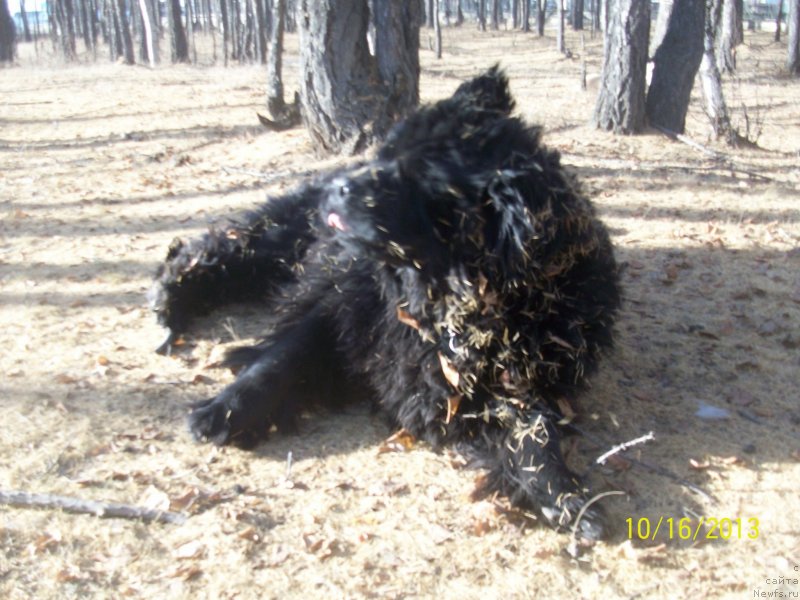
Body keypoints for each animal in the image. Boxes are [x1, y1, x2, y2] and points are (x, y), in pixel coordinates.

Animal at [152, 68, 624, 540]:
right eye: (387, 153)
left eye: (418, 178)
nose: (342, 187)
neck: (441, 300)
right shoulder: (342, 309)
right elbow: (280, 360)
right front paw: (222, 412)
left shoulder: (517, 374)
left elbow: (533, 431)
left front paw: (566, 496)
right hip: (284, 239)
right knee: (222, 251)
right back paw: (168, 301)